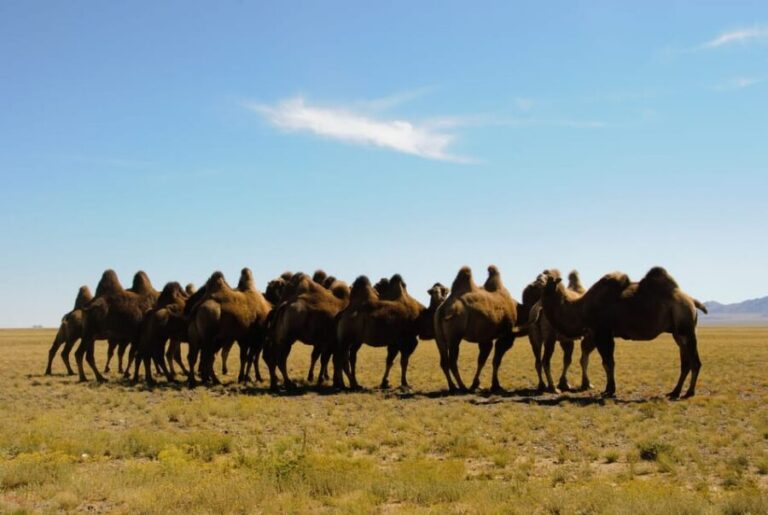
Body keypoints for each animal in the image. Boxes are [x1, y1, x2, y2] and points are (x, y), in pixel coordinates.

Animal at [540, 266, 707, 398]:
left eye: (546, 279)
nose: (538, 281)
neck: (581, 309)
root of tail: (692, 301)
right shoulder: (602, 334)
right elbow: (608, 363)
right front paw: (608, 389)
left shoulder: (603, 333)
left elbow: (608, 363)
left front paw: (609, 391)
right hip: (678, 333)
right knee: (685, 362)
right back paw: (675, 392)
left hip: (686, 326)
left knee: (695, 362)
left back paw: (689, 392)